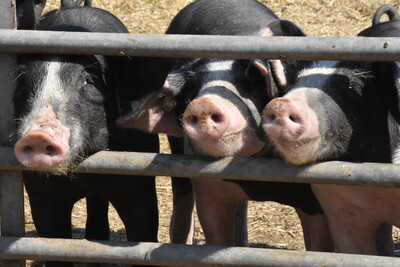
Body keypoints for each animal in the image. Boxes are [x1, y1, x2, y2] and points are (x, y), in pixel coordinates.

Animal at [14, 2, 161, 267]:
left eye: (88, 80)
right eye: (22, 80)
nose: (38, 135)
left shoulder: (139, 185)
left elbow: (143, 235)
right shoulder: (40, 193)